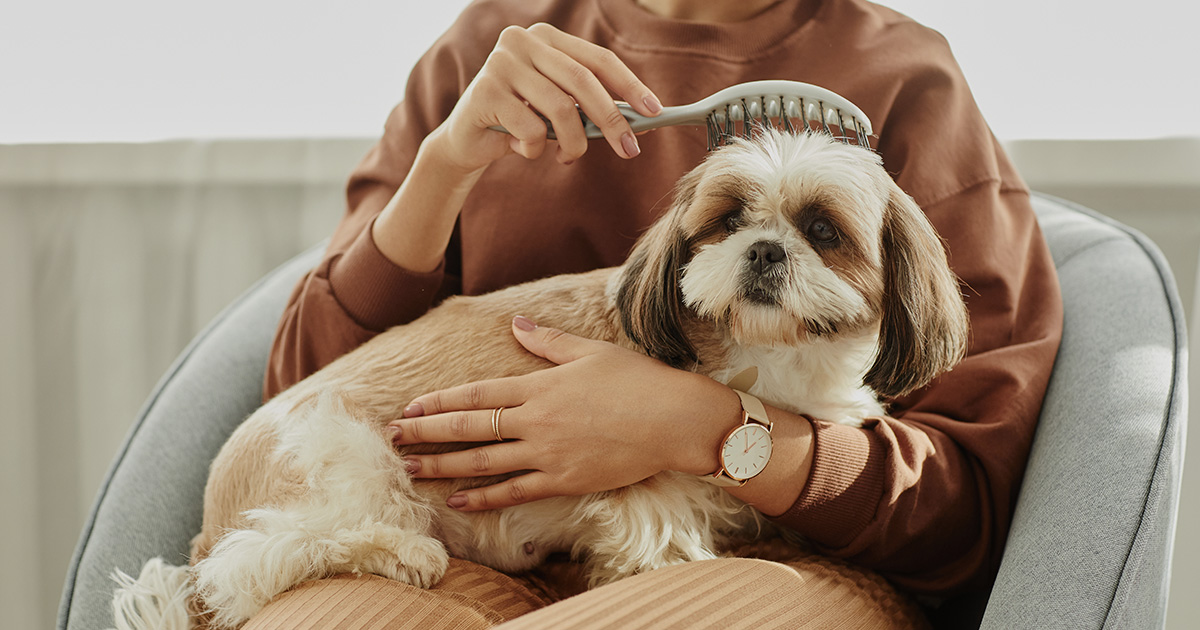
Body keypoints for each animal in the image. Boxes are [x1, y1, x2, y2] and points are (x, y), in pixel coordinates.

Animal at [112, 129, 969, 628]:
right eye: (727, 220)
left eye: (824, 231)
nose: (763, 249)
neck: (764, 360)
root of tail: (208, 517)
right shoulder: (645, 507)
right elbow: (660, 557)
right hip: (346, 451)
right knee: (250, 566)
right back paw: (402, 554)